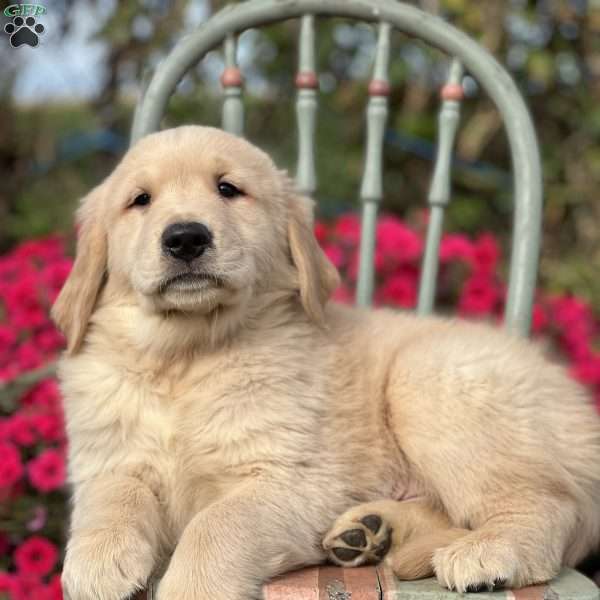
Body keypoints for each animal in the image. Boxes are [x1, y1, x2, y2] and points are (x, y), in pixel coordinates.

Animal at [51, 124, 600, 596]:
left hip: (431, 385)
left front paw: (191, 589)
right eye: (139, 200)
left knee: (550, 503)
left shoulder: (294, 479)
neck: (186, 357)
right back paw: (370, 532)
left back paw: (489, 551)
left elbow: (216, 523)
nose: (186, 237)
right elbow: (109, 497)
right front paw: (99, 558)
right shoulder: (109, 457)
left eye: (229, 189)